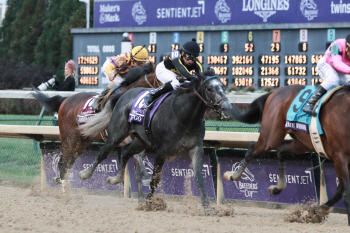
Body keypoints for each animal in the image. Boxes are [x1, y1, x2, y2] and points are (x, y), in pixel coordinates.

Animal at [32, 62, 161, 198]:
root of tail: (65, 100)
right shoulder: (120, 137)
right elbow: (136, 156)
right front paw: (145, 178)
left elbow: (137, 164)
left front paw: (141, 194)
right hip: (69, 139)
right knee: (63, 164)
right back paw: (65, 193)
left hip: (81, 142)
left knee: (66, 163)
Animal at [78, 70, 234, 208]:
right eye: (209, 88)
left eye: (223, 87)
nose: (226, 107)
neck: (185, 116)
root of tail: (124, 94)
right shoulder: (161, 151)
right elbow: (154, 179)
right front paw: (148, 203)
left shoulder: (196, 149)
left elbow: (199, 178)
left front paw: (207, 206)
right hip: (117, 134)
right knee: (104, 151)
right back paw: (86, 173)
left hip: (141, 141)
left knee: (126, 152)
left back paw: (116, 178)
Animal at [224, 84, 350, 227]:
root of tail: (276, 91)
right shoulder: (339, 155)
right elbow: (345, 191)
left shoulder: (343, 159)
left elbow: (340, 190)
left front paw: (317, 210)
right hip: (270, 138)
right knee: (253, 148)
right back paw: (234, 175)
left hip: (303, 142)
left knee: (280, 150)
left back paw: (277, 188)